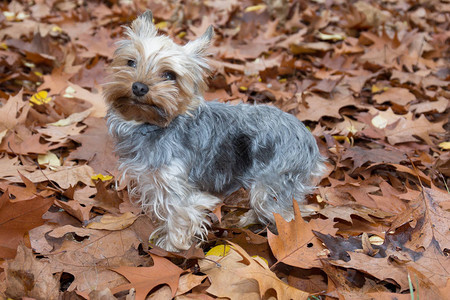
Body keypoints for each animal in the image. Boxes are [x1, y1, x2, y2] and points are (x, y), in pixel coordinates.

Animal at [103, 11, 326, 251]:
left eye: (169, 75)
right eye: (131, 62)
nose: (139, 86)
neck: (149, 124)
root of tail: (309, 138)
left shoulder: (179, 190)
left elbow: (179, 220)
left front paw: (171, 249)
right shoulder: (152, 181)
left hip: (272, 183)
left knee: (288, 214)